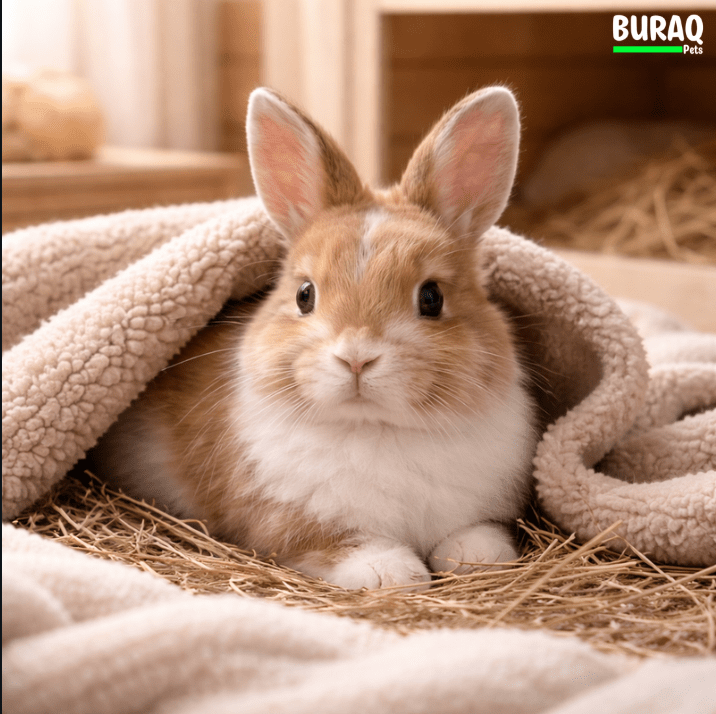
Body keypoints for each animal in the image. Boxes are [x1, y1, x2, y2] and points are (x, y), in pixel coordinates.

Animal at [94, 86, 538, 591]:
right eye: (304, 295)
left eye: (432, 297)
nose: (357, 359)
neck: (374, 427)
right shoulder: (290, 524)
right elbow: (348, 549)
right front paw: (397, 574)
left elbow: (477, 535)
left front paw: (478, 558)